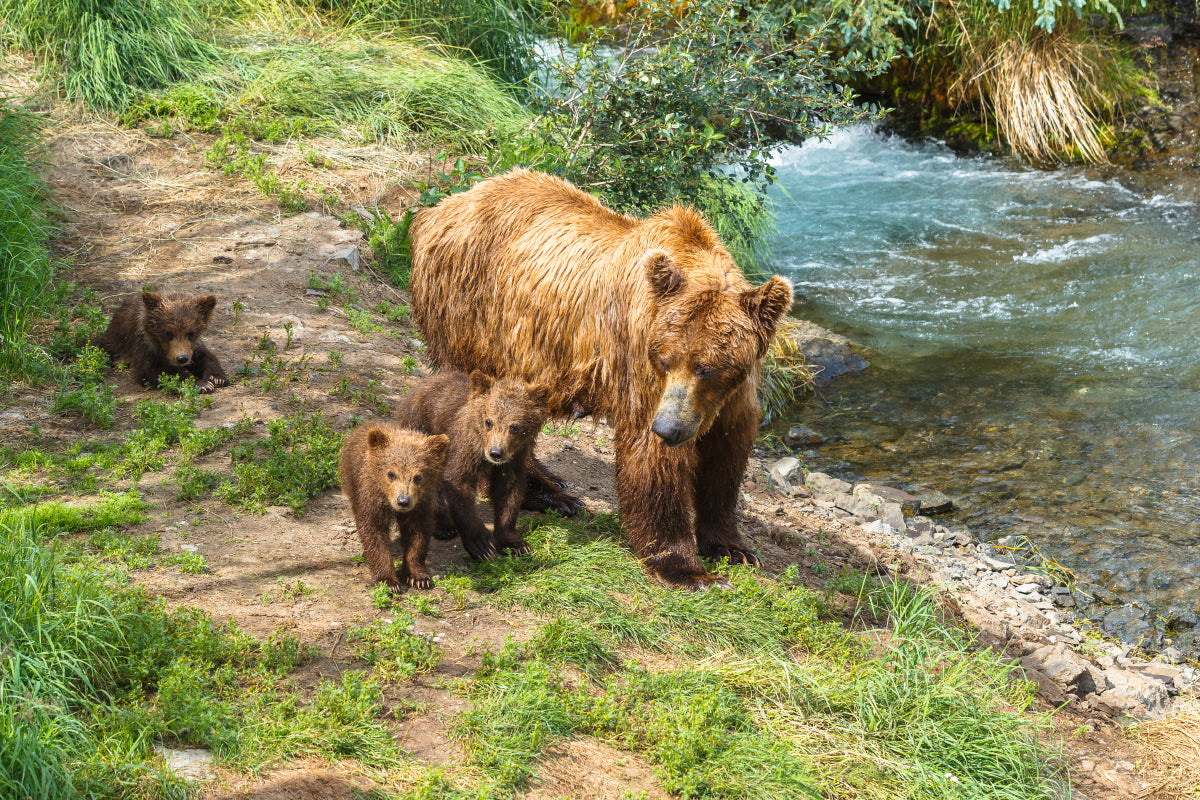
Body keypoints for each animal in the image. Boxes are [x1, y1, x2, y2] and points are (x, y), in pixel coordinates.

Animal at [92, 291, 228, 393]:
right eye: (168, 333)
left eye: (191, 333)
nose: (182, 358)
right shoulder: (145, 346)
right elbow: (154, 370)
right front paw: (201, 384)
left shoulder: (193, 348)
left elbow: (206, 357)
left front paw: (216, 378)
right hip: (114, 341)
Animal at [338, 422, 450, 592]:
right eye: (391, 473)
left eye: (418, 476)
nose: (403, 501)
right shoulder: (371, 498)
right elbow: (374, 532)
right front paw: (387, 581)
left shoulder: (420, 504)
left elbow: (417, 534)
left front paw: (418, 577)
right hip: (352, 483)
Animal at [396, 369, 550, 561]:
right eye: (489, 421)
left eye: (515, 426)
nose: (496, 452)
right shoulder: (465, 448)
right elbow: (459, 484)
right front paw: (482, 545)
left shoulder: (514, 459)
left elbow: (509, 491)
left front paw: (514, 543)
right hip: (422, 427)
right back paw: (444, 527)